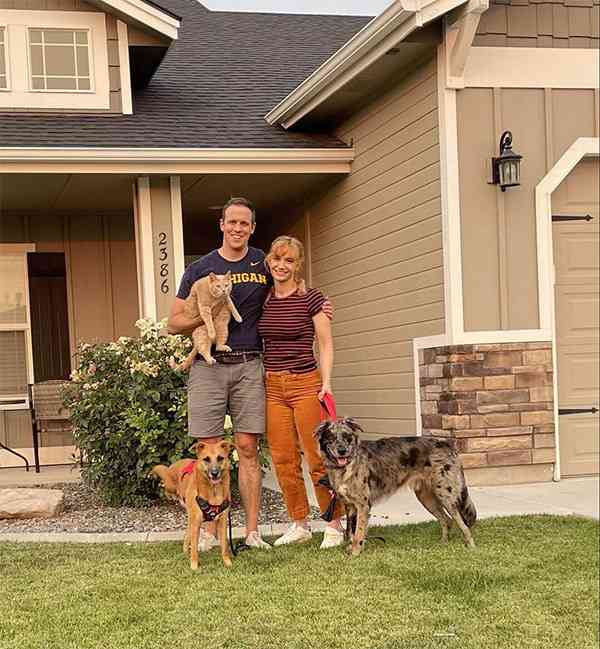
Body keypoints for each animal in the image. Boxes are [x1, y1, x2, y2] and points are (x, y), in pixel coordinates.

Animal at [151, 440, 234, 570]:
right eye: (206, 459)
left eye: (220, 458)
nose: (214, 473)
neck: (213, 492)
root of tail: (175, 464)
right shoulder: (196, 523)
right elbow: (194, 548)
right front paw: (194, 566)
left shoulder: (222, 522)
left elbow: (224, 546)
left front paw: (227, 562)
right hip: (170, 486)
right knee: (165, 486)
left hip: (190, 518)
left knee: (187, 534)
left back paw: (185, 551)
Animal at [315, 418, 477, 557]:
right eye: (331, 437)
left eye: (347, 436)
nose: (342, 451)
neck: (347, 465)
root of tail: (446, 444)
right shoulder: (349, 505)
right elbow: (351, 531)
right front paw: (352, 549)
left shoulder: (363, 505)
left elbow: (358, 532)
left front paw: (354, 553)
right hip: (426, 498)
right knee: (447, 520)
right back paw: (443, 543)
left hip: (445, 494)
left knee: (463, 524)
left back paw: (471, 547)